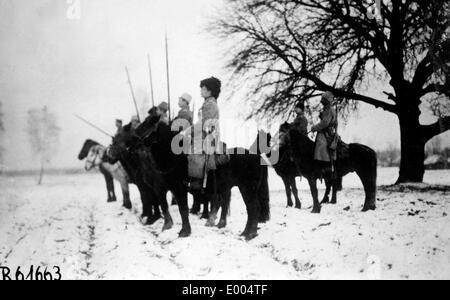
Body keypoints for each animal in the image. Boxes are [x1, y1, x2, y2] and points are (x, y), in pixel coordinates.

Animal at [118, 115, 268, 241]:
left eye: (146, 125)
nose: (128, 143)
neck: (174, 158)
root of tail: (257, 155)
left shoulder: (178, 189)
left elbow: (183, 209)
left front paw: (184, 232)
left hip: (247, 188)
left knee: (253, 208)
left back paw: (249, 234)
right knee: (248, 208)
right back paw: (245, 232)